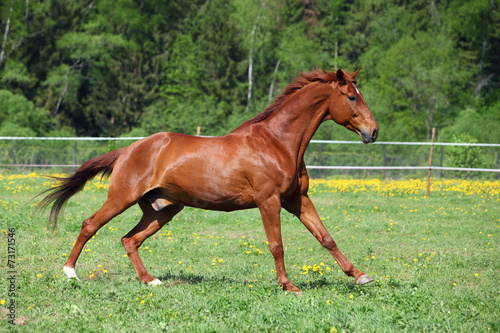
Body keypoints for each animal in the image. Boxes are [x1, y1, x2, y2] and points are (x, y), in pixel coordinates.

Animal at [39, 68, 376, 294]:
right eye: (351, 97)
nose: (373, 132)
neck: (277, 142)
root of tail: (129, 149)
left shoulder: (298, 200)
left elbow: (326, 237)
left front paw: (360, 275)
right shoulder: (269, 201)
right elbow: (276, 244)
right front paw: (288, 286)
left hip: (162, 210)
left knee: (130, 240)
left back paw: (150, 280)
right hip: (121, 198)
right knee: (90, 225)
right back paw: (70, 272)